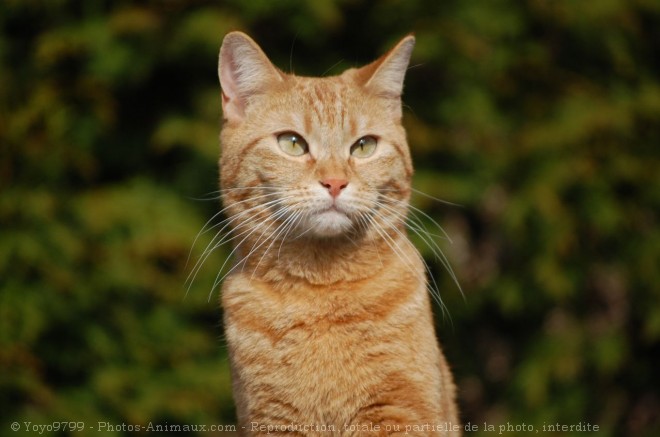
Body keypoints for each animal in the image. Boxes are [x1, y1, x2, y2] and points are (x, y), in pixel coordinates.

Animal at [217, 32, 458, 434]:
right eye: (292, 143)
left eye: (364, 146)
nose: (334, 182)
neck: (323, 292)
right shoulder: (273, 420)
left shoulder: (399, 413)